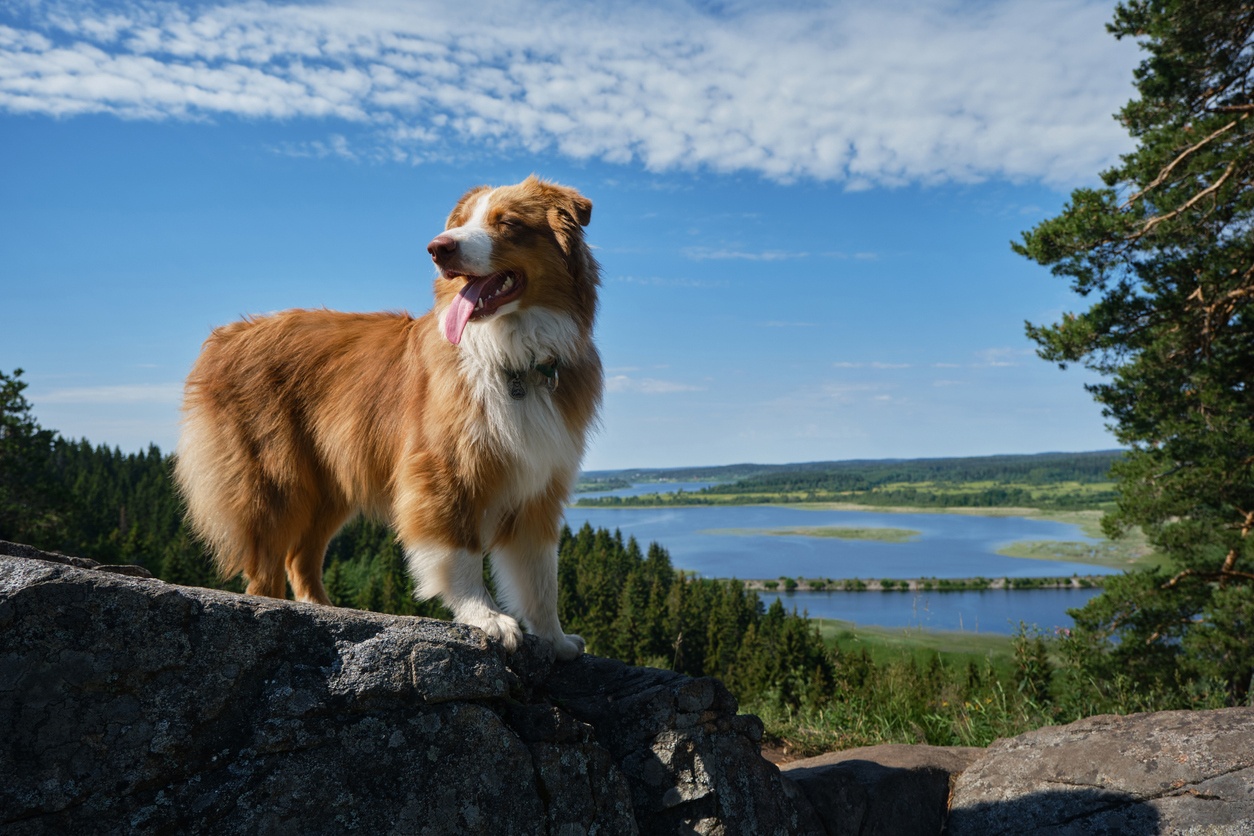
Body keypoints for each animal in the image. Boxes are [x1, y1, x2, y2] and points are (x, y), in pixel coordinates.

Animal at [175, 177, 601, 661]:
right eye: (460, 222)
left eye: (507, 223)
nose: (438, 248)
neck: (513, 359)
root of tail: (228, 334)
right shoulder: (442, 472)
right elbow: (463, 554)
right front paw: (486, 617)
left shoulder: (539, 484)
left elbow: (540, 576)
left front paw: (555, 639)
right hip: (275, 482)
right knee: (265, 572)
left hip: (328, 482)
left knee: (300, 558)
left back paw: (327, 611)